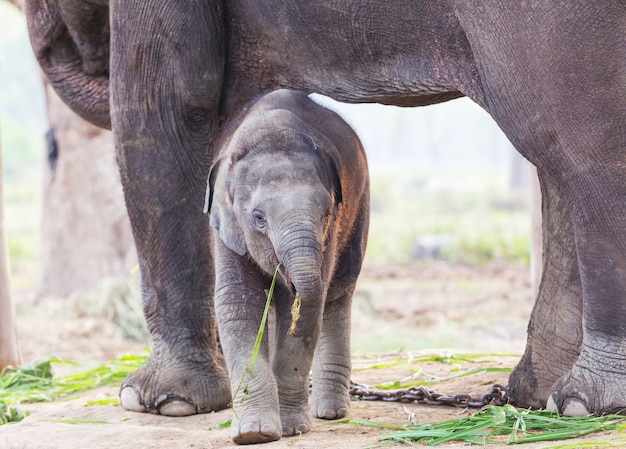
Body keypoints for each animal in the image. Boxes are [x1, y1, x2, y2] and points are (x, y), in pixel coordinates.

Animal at [206, 89, 366, 442]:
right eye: (258, 218)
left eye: (325, 213)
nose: (289, 277)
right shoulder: (226, 229)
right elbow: (238, 303)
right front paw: (254, 434)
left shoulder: (333, 228)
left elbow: (308, 308)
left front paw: (292, 428)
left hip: (361, 207)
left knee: (338, 292)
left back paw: (330, 413)